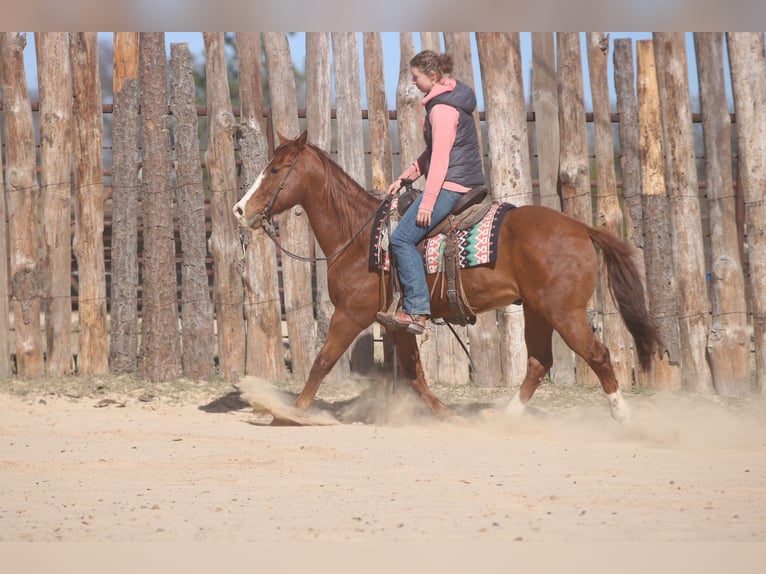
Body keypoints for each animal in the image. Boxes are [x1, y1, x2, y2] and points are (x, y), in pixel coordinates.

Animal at [233, 131, 661, 422]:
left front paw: (292, 411)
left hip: (564, 313)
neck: (359, 236)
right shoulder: (396, 323)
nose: (239, 210)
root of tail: (583, 229)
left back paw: (623, 417)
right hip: (539, 311)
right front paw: (444, 413)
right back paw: (505, 417)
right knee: (539, 362)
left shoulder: (351, 314)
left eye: (274, 170)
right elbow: (414, 372)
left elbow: (322, 361)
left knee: (597, 355)